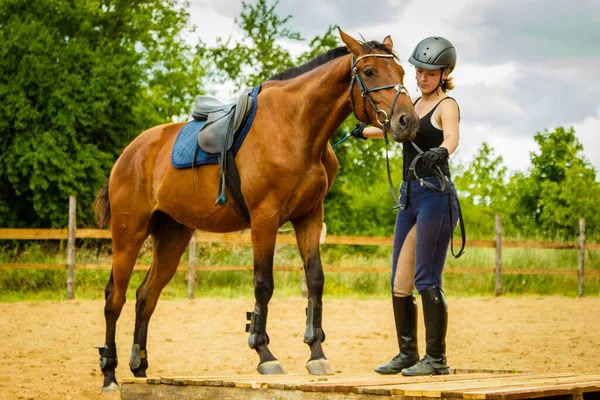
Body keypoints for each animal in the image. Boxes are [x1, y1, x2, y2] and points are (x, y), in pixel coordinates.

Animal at [95, 28, 418, 390]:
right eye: (369, 72)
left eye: (401, 72)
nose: (408, 122)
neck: (297, 127)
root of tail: (129, 154)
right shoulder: (265, 218)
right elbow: (263, 284)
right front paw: (265, 355)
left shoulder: (309, 217)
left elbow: (315, 280)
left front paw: (316, 353)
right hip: (129, 233)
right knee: (115, 298)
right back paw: (109, 374)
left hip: (172, 238)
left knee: (145, 296)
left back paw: (140, 367)